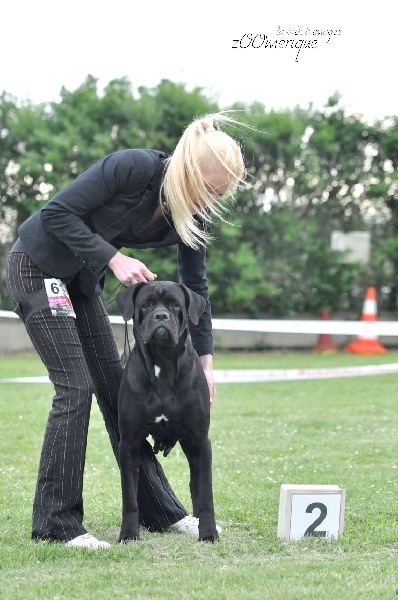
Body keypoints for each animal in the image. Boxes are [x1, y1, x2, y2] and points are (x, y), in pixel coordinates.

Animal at [115, 282, 218, 544]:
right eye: (146, 304)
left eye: (175, 305)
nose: (161, 316)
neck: (162, 364)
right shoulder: (129, 443)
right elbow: (129, 496)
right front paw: (128, 534)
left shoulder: (200, 440)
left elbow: (206, 494)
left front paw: (208, 532)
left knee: (195, 485)